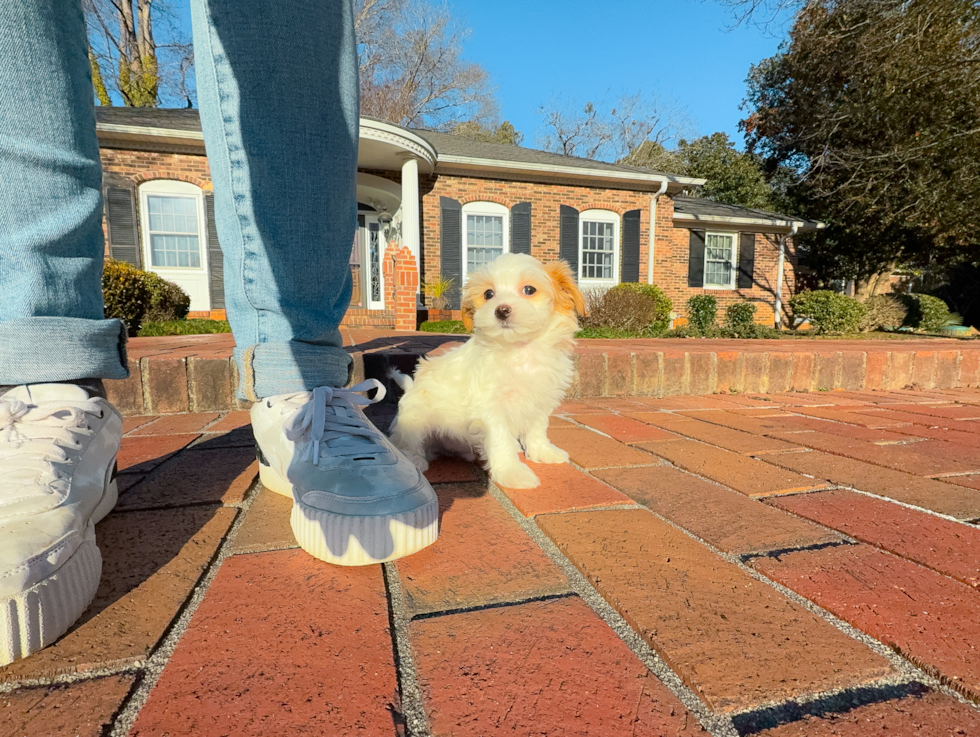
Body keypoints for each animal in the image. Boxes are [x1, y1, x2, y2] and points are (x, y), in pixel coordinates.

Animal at [388, 253, 584, 488]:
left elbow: (537, 428)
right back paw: (415, 460)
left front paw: (543, 452)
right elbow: (500, 440)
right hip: (415, 416)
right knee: (409, 443)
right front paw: (512, 473)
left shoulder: (540, 400)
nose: (502, 310)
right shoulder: (491, 408)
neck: (520, 349)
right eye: (488, 294)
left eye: (529, 290)